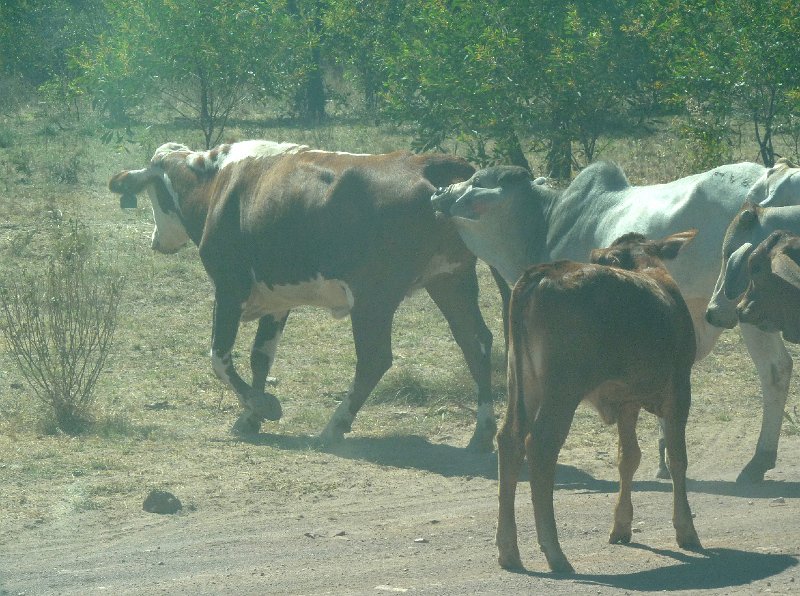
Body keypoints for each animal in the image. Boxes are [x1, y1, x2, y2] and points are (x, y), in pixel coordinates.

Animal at [108, 140, 500, 448]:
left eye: (153, 195)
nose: (155, 241)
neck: (217, 182)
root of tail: (431, 163)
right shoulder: (277, 300)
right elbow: (260, 358)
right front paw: (250, 417)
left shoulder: (229, 286)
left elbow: (219, 356)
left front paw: (262, 406)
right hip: (451, 279)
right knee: (475, 341)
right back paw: (482, 432)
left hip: (374, 296)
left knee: (375, 359)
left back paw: (334, 427)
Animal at [434, 159, 800, 484]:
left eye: (476, 180)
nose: (439, 191)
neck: (546, 223)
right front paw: (664, 454)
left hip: (746, 310)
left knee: (775, 370)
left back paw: (758, 461)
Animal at [494, 229, 700, 572]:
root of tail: (545, 271)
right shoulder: (680, 389)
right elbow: (677, 459)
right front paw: (687, 530)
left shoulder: (627, 399)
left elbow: (628, 457)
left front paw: (621, 525)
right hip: (561, 389)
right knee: (541, 445)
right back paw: (555, 552)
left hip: (521, 382)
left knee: (509, 439)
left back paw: (509, 550)